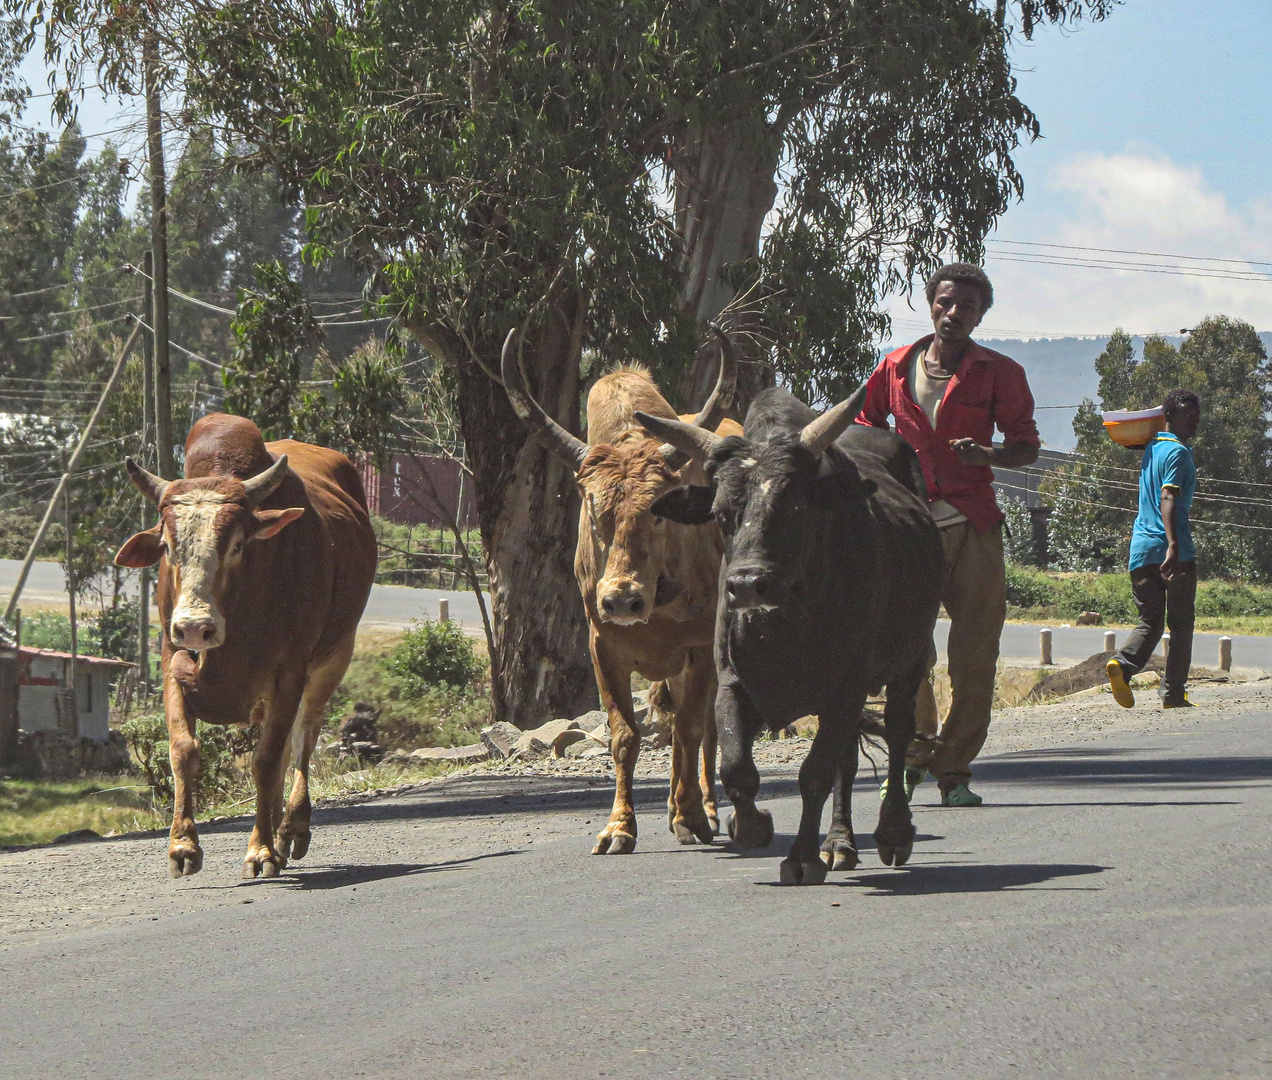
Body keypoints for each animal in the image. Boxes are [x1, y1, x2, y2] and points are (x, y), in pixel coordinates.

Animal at [115, 412, 373, 875]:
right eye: (167, 546)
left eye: (237, 544)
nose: (195, 627)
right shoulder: (171, 659)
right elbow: (183, 750)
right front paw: (183, 846)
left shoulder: (290, 672)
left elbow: (267, 758)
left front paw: (262, 849)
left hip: (335, 656)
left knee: (302, 739)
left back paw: (291, 829)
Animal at [501, 325, 742, 849]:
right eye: (593, 512)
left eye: (659, 510)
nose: (621, 600)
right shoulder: (603, 648)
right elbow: (624, 736)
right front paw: (619, 828)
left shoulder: (699, 648)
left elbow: (692, 729)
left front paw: (692, 817)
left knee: (706, 728)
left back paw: (705, 810)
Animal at [636, 384, 946, 880]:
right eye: (720, 513)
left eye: (795, 507)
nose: (746, 584)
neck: (783, 626)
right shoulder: (732, 683)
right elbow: (736, 768)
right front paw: (751, 826)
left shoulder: (847, 685)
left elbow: (814, 773)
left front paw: (800, 857)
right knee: (847, 760)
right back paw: (839, 843)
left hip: (911, 660)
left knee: (898, 732)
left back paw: (892, 831)